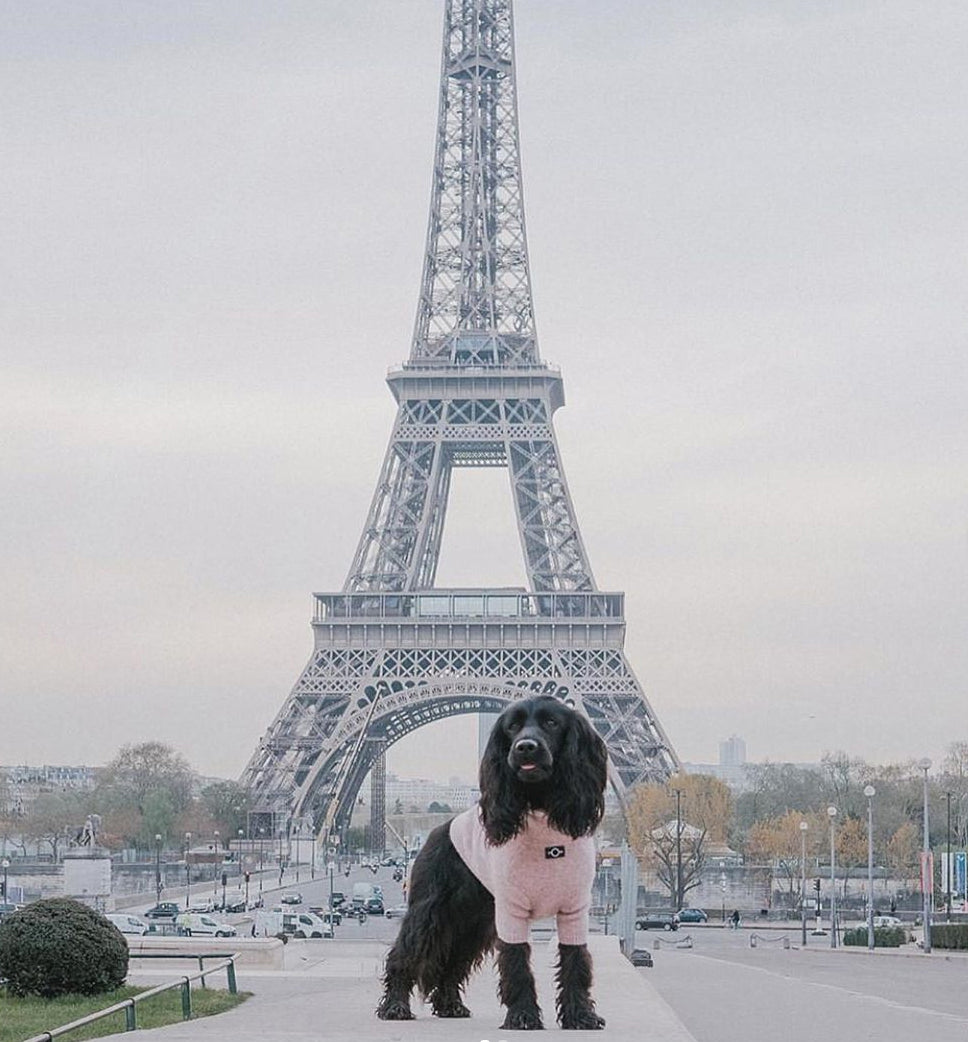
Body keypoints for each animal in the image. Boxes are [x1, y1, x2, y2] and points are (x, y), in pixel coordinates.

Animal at [375, 696, 608, 1029]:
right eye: (513, 726)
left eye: (552, 723)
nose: (525, 747)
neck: (542, 814)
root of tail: (434, 832)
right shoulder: (512, 911)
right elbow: (517, 964)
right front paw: (523, 1015)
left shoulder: (574, 911)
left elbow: (576, 963)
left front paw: (580, 1015)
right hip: (430, 913)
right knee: (404, 955)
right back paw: (395, 1006)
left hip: (473, 921)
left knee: (453, 963)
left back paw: (450, 1005)